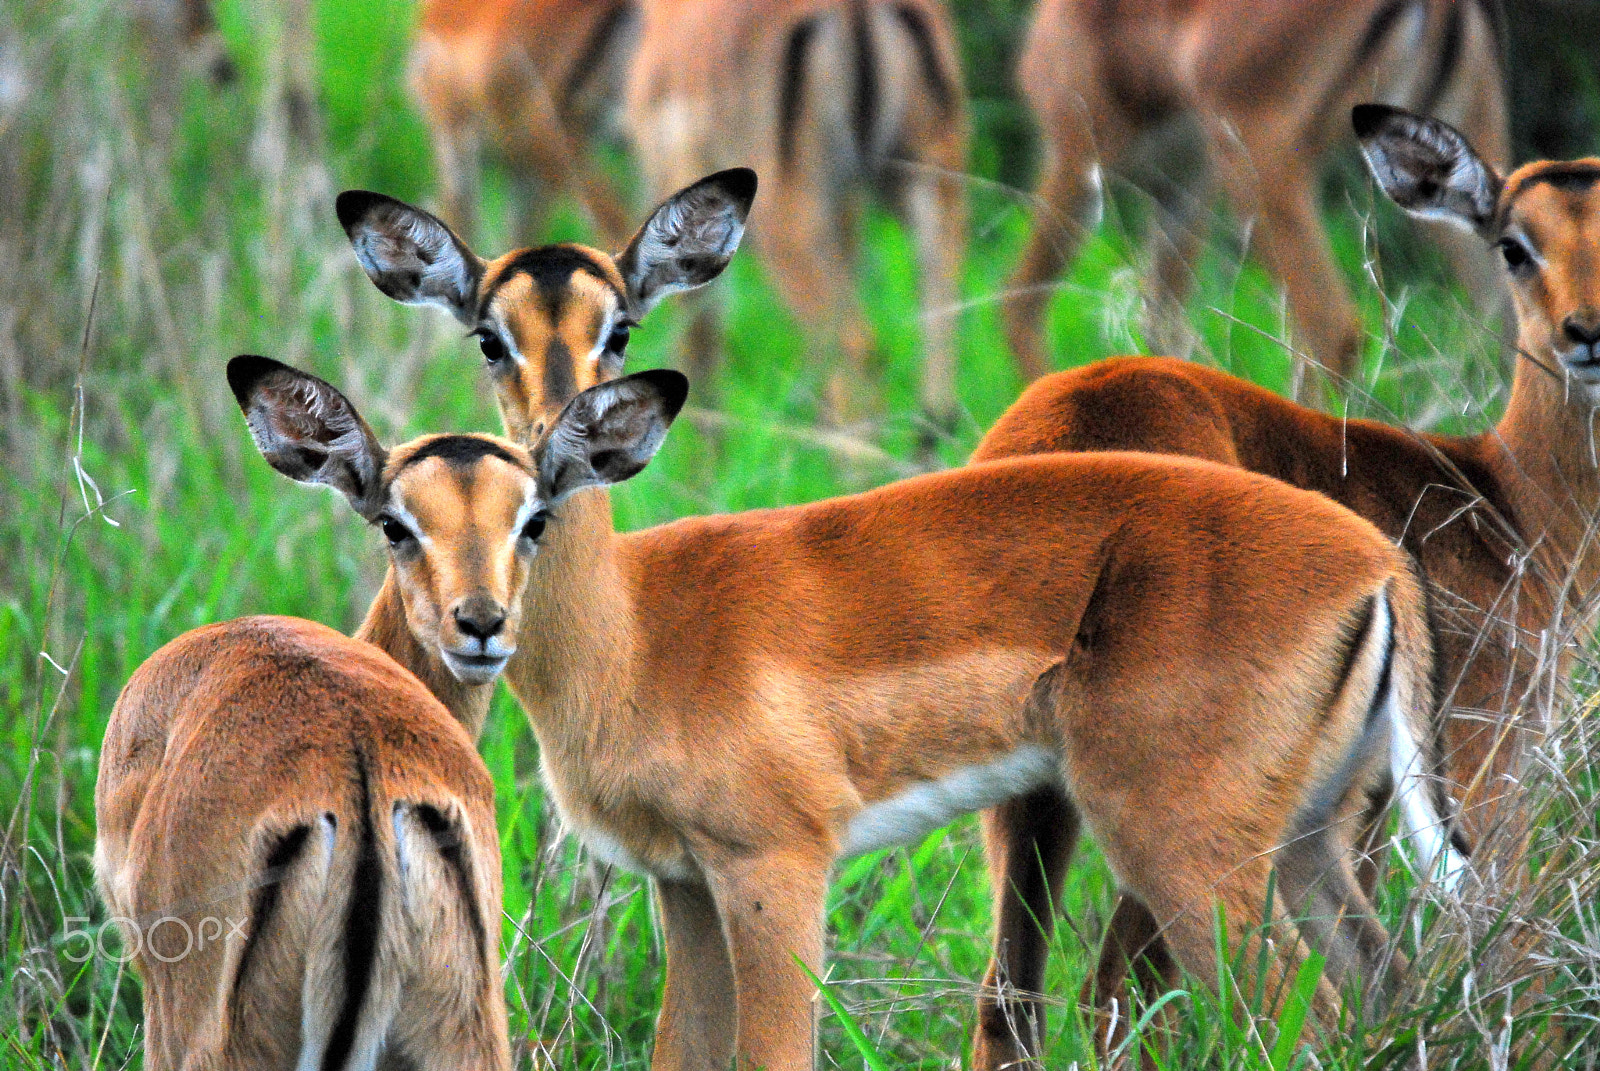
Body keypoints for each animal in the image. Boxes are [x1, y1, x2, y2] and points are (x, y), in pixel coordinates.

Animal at [337, 171, 1464, 1069]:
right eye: (490, 335)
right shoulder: (686, 885)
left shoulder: (774, 866)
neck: (632, 632)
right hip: (1308, 841)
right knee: (1384, 993)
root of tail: (1374, 562)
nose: (564, 434)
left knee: (1298, 1018)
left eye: (620, 327)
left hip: (1184, 850)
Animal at [624, 0, 969, 428]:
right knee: (938, 378)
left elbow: (699, 349)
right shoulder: (844, 209)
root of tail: (855, 9)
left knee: (856, 348)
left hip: (788, 219)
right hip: (928, 182)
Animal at [966, 103, 1598, 1067]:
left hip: (1034, 803)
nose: (1586, 332)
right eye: (1514, 245)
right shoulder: (1483, 765)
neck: (1509, 505)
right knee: (1134, 982)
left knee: (1015, 998)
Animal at [1003, 0, 1509, 399]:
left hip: (1262, 170)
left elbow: (1020, 304)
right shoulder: (1183, 187)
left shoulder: (1075, 154)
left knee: (1336, 332)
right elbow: (1164, 329)